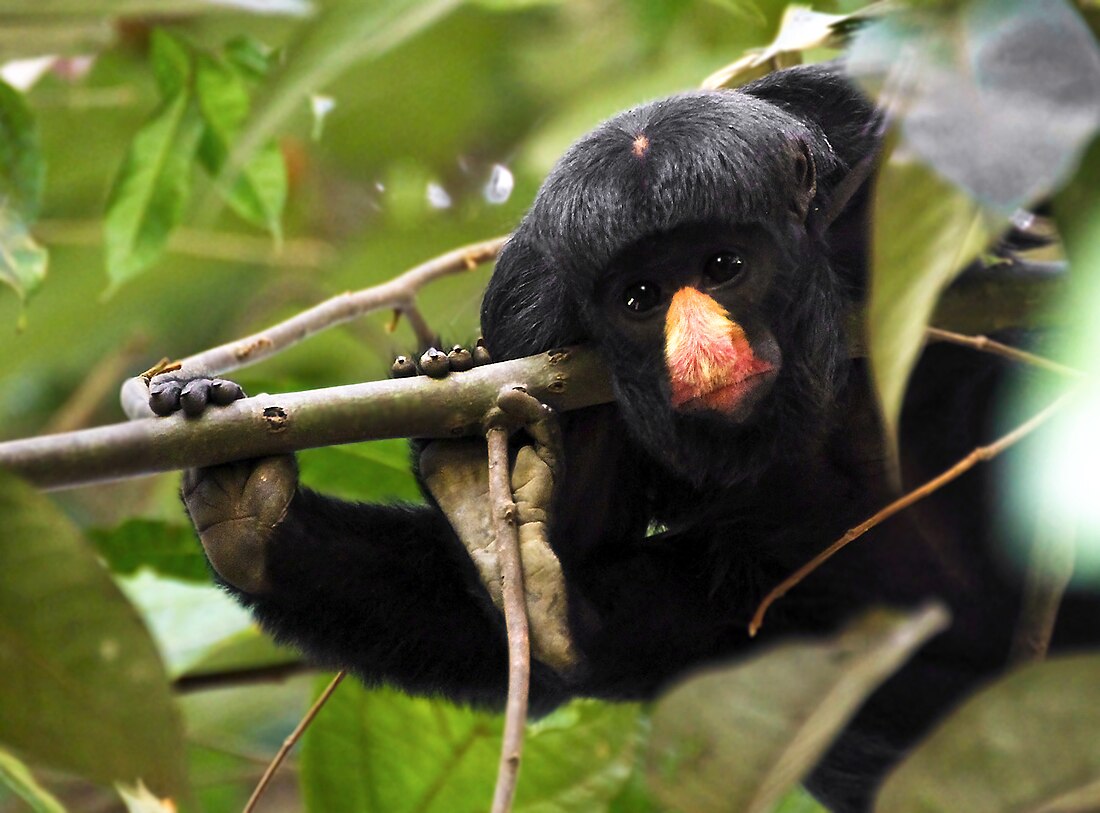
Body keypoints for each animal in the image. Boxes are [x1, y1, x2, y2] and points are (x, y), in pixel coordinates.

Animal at [152, 65, 1100, 813]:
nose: (701, 351)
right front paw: (241, 478)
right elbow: (536, 638)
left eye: (723, 267)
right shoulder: (532, 316)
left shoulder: (864, 137)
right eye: (641, 298)